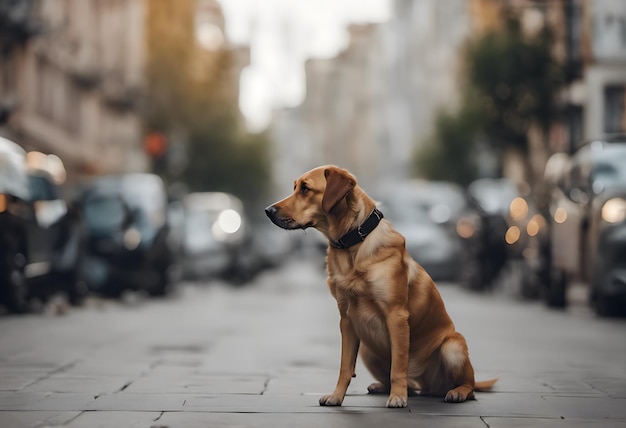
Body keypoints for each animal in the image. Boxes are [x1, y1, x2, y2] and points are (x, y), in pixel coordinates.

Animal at [264, 165, 498, 408]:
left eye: (305, 189)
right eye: (295, 187)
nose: (268, 210)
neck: (353, 244)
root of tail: (428, 387)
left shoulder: (396, 316)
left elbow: (398, 367)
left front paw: (397, 397)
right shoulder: (347, 319)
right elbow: (345, 367)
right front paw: (337, 396)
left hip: (453, 347)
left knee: (469, 386)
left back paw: (456, 392)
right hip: (368, 349)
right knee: (409, 385)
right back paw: (382, 387)